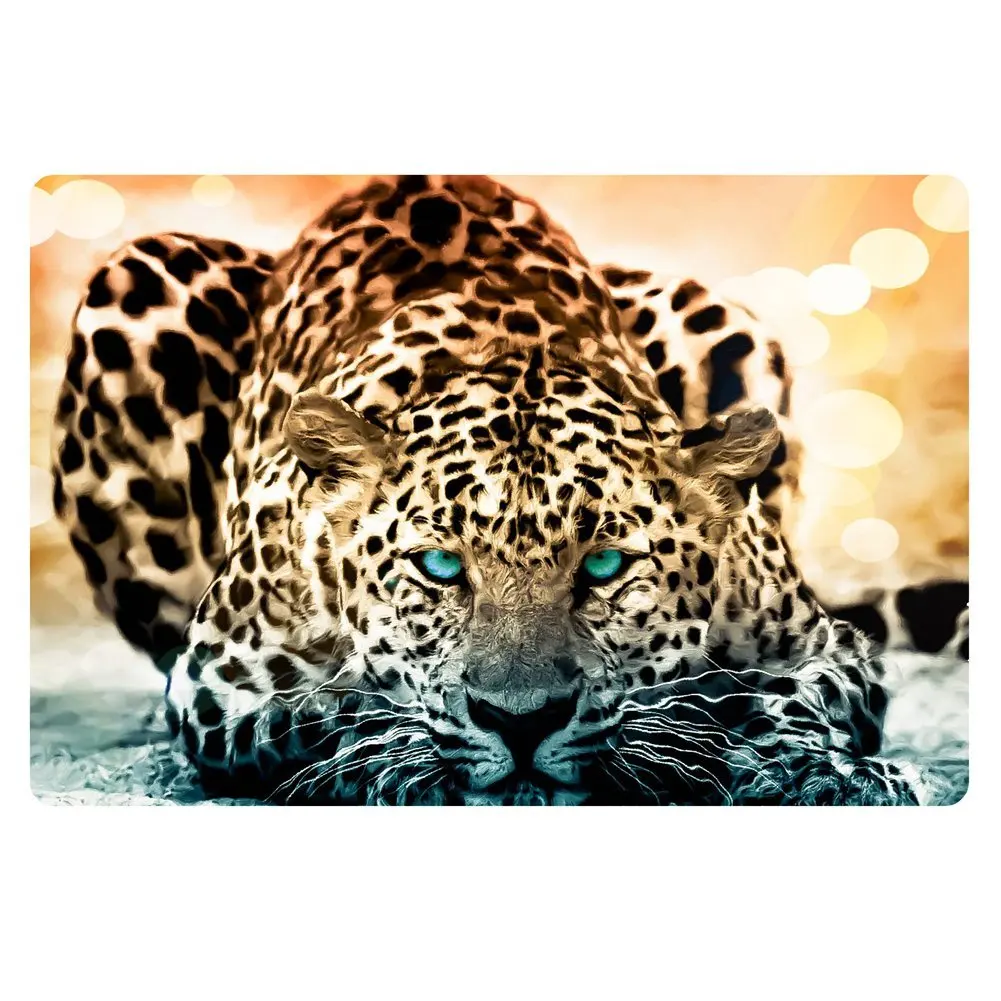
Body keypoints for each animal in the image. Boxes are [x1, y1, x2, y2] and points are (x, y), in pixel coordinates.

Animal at [51, 174, 968, 805]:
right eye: (438, 567)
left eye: (602, 566)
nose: (521, 720)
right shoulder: (217, 681)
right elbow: (327, 711)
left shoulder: (823, 645)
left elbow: (784, 694)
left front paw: (813, 768)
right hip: (139, 277)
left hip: (721, 320)